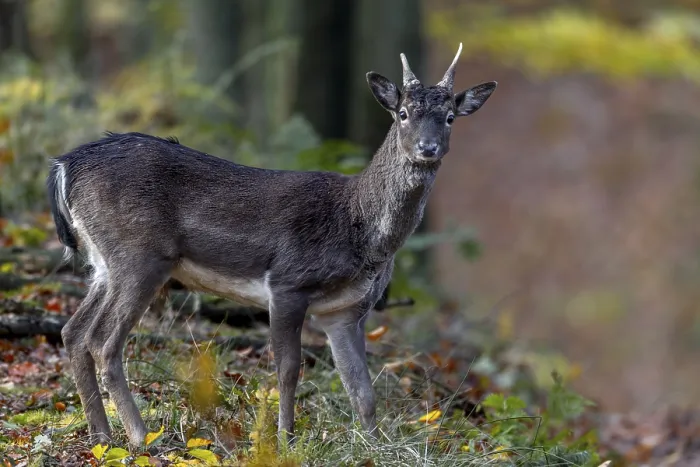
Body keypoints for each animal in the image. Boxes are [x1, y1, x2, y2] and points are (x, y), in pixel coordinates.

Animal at [46, 43, 496, 448]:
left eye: (450, 117)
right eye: (403, 114)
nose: (427, 148)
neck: (361, 229)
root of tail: (65, 166)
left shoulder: (345, 311)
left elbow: (361, 388)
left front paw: (374, 447)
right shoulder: (288, 282)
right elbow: (288, 369)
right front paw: (283, 440)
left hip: (104, 263)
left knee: (73, 331)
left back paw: (102, 436)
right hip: (139, 255)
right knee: (103, 342)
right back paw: (142, 437)